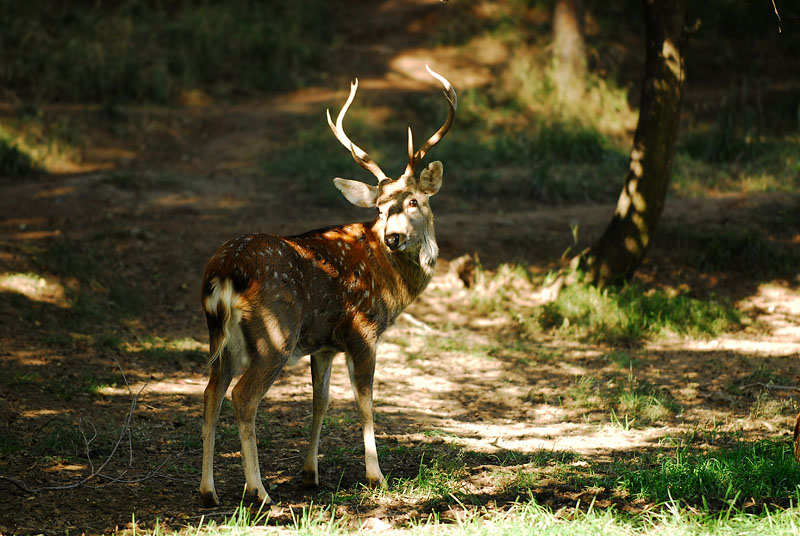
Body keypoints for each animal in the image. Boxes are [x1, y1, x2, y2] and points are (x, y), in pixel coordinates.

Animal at [199, 66, 456, 507]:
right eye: (379, 208)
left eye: (413, 202)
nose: (392, 237)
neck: (391, 284)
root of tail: (225, 270)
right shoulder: (362, 329)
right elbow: (365, 401)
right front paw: (376, 475)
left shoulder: (323, 343)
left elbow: (321, 402)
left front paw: (310, 472)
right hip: (275, 332)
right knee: (242, 397)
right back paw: (259, 492)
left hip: (223, 339)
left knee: (210, 393)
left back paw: (208, 491)